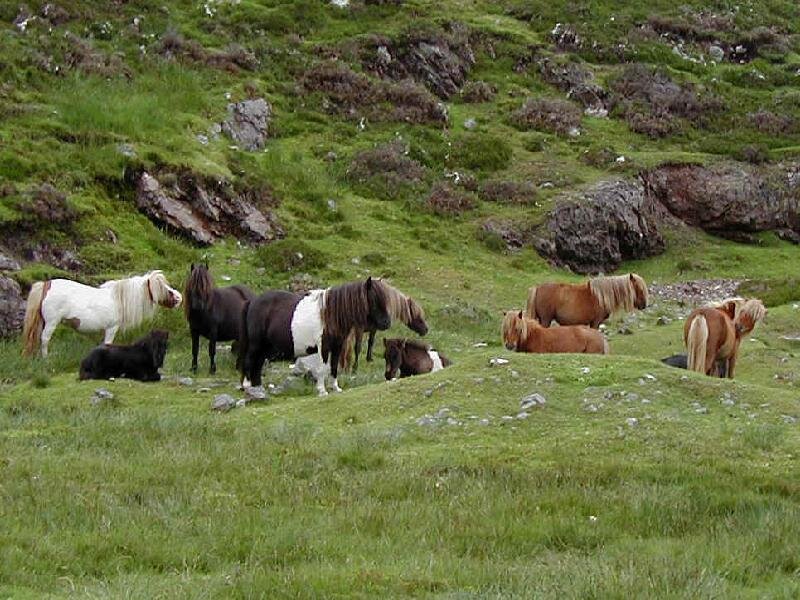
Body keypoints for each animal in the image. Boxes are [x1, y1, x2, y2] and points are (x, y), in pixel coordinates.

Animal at [23, 271, 182, 357]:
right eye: (162, 287)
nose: (179, 298)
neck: (119, 299)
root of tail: (46, 284)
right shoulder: (111, 328)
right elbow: (107, 344)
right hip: (51, 322)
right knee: (44, 339)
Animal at [238, 277, 392, 396]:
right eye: (374, 299)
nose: (387, 323)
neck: (331, 313)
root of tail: (252, 302)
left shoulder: (337, 346)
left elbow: (334, 366)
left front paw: (335, 388)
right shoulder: (323, 346)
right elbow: (323, 368)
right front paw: (322, 391)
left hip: (264, 346)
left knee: (257, 365)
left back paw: (258, 389)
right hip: (256, 344)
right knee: (249, 361)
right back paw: (247, 386)